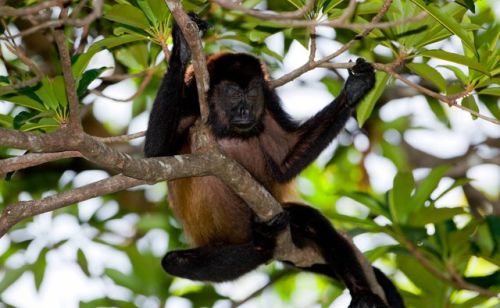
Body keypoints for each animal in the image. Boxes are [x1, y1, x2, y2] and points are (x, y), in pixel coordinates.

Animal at [144, 13, 402, 306]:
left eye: (253, 93)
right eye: (233, 93)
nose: (245, 111)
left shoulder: (269, 107)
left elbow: (282, 163)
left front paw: (353, 91)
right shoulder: (189, 97)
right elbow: (157, 153)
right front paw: (182, 48)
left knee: (311, 220)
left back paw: (362, 293)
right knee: (174, 262)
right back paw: (262, 242)